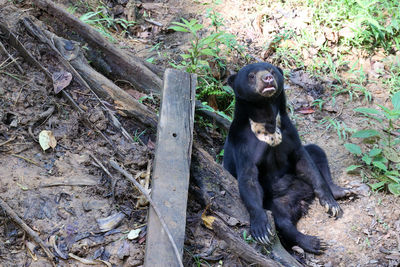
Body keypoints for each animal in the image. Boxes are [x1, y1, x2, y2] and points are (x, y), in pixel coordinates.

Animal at [223, 61, 352, 254]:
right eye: (251, 76)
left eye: (271, 70)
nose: (267, 79)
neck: (267, 120)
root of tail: (301, 200)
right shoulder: (243, 144)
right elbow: (248, 179)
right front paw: (261, 229)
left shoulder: (289, 131)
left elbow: (305, 161)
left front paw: (331, 204)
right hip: (275, 203)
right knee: (282, 222)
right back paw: (313, 242)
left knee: (317, 152)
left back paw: (342, 192)